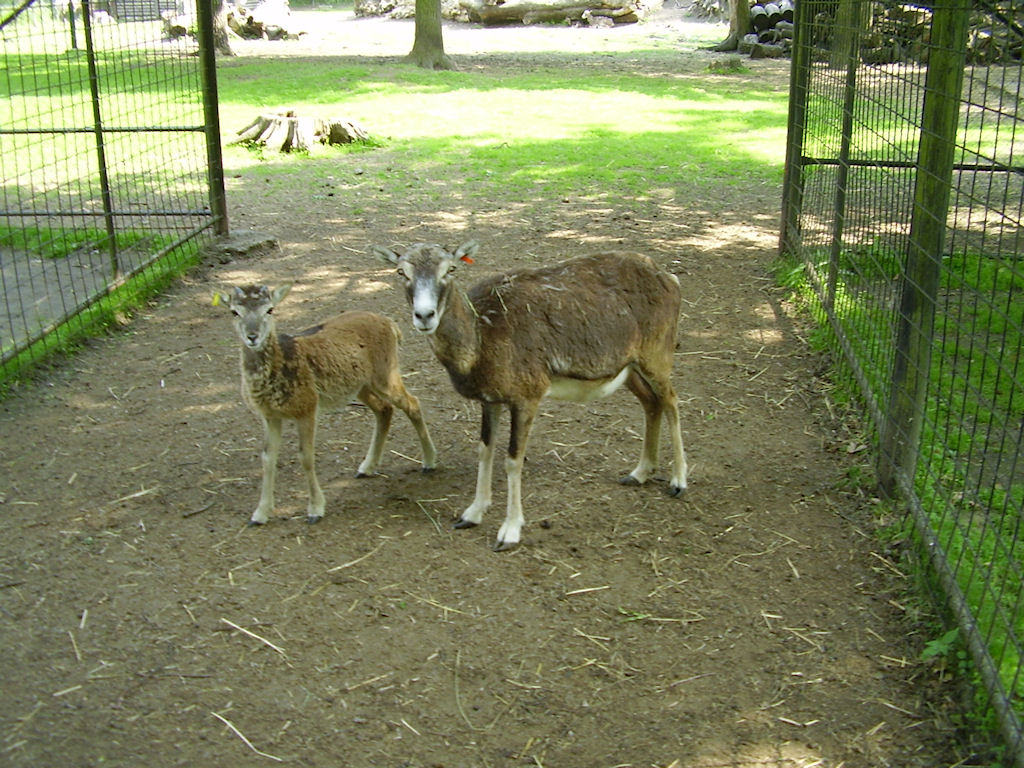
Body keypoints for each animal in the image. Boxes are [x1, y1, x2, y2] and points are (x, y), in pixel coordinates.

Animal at [217, 283, 437, 525]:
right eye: (234, 312)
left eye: (270, 309)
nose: (252, 336)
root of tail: (390, 323)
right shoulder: (270, 415)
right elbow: (267, 458)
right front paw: (260, 514)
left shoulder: (307, 407)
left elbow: (306, 456)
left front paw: (315, 509)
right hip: (359, 385)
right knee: (383, 409)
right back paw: (367, 467)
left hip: (385, 373)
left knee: (412, 403)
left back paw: (429, 462)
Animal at [373, 241, 687, 551]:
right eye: (401, 272)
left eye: (450, 269)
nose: (425, 315)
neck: (480, 341)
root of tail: (670, 278)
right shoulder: (490, 400)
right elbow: (485, 450)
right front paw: (471, 515)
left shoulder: (527, 395)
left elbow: (513, 460)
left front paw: (509, 532)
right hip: (630, 367)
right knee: (651, 402)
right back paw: (639, 473)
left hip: (657, 354)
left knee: (671, 401)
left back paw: (678, 481)